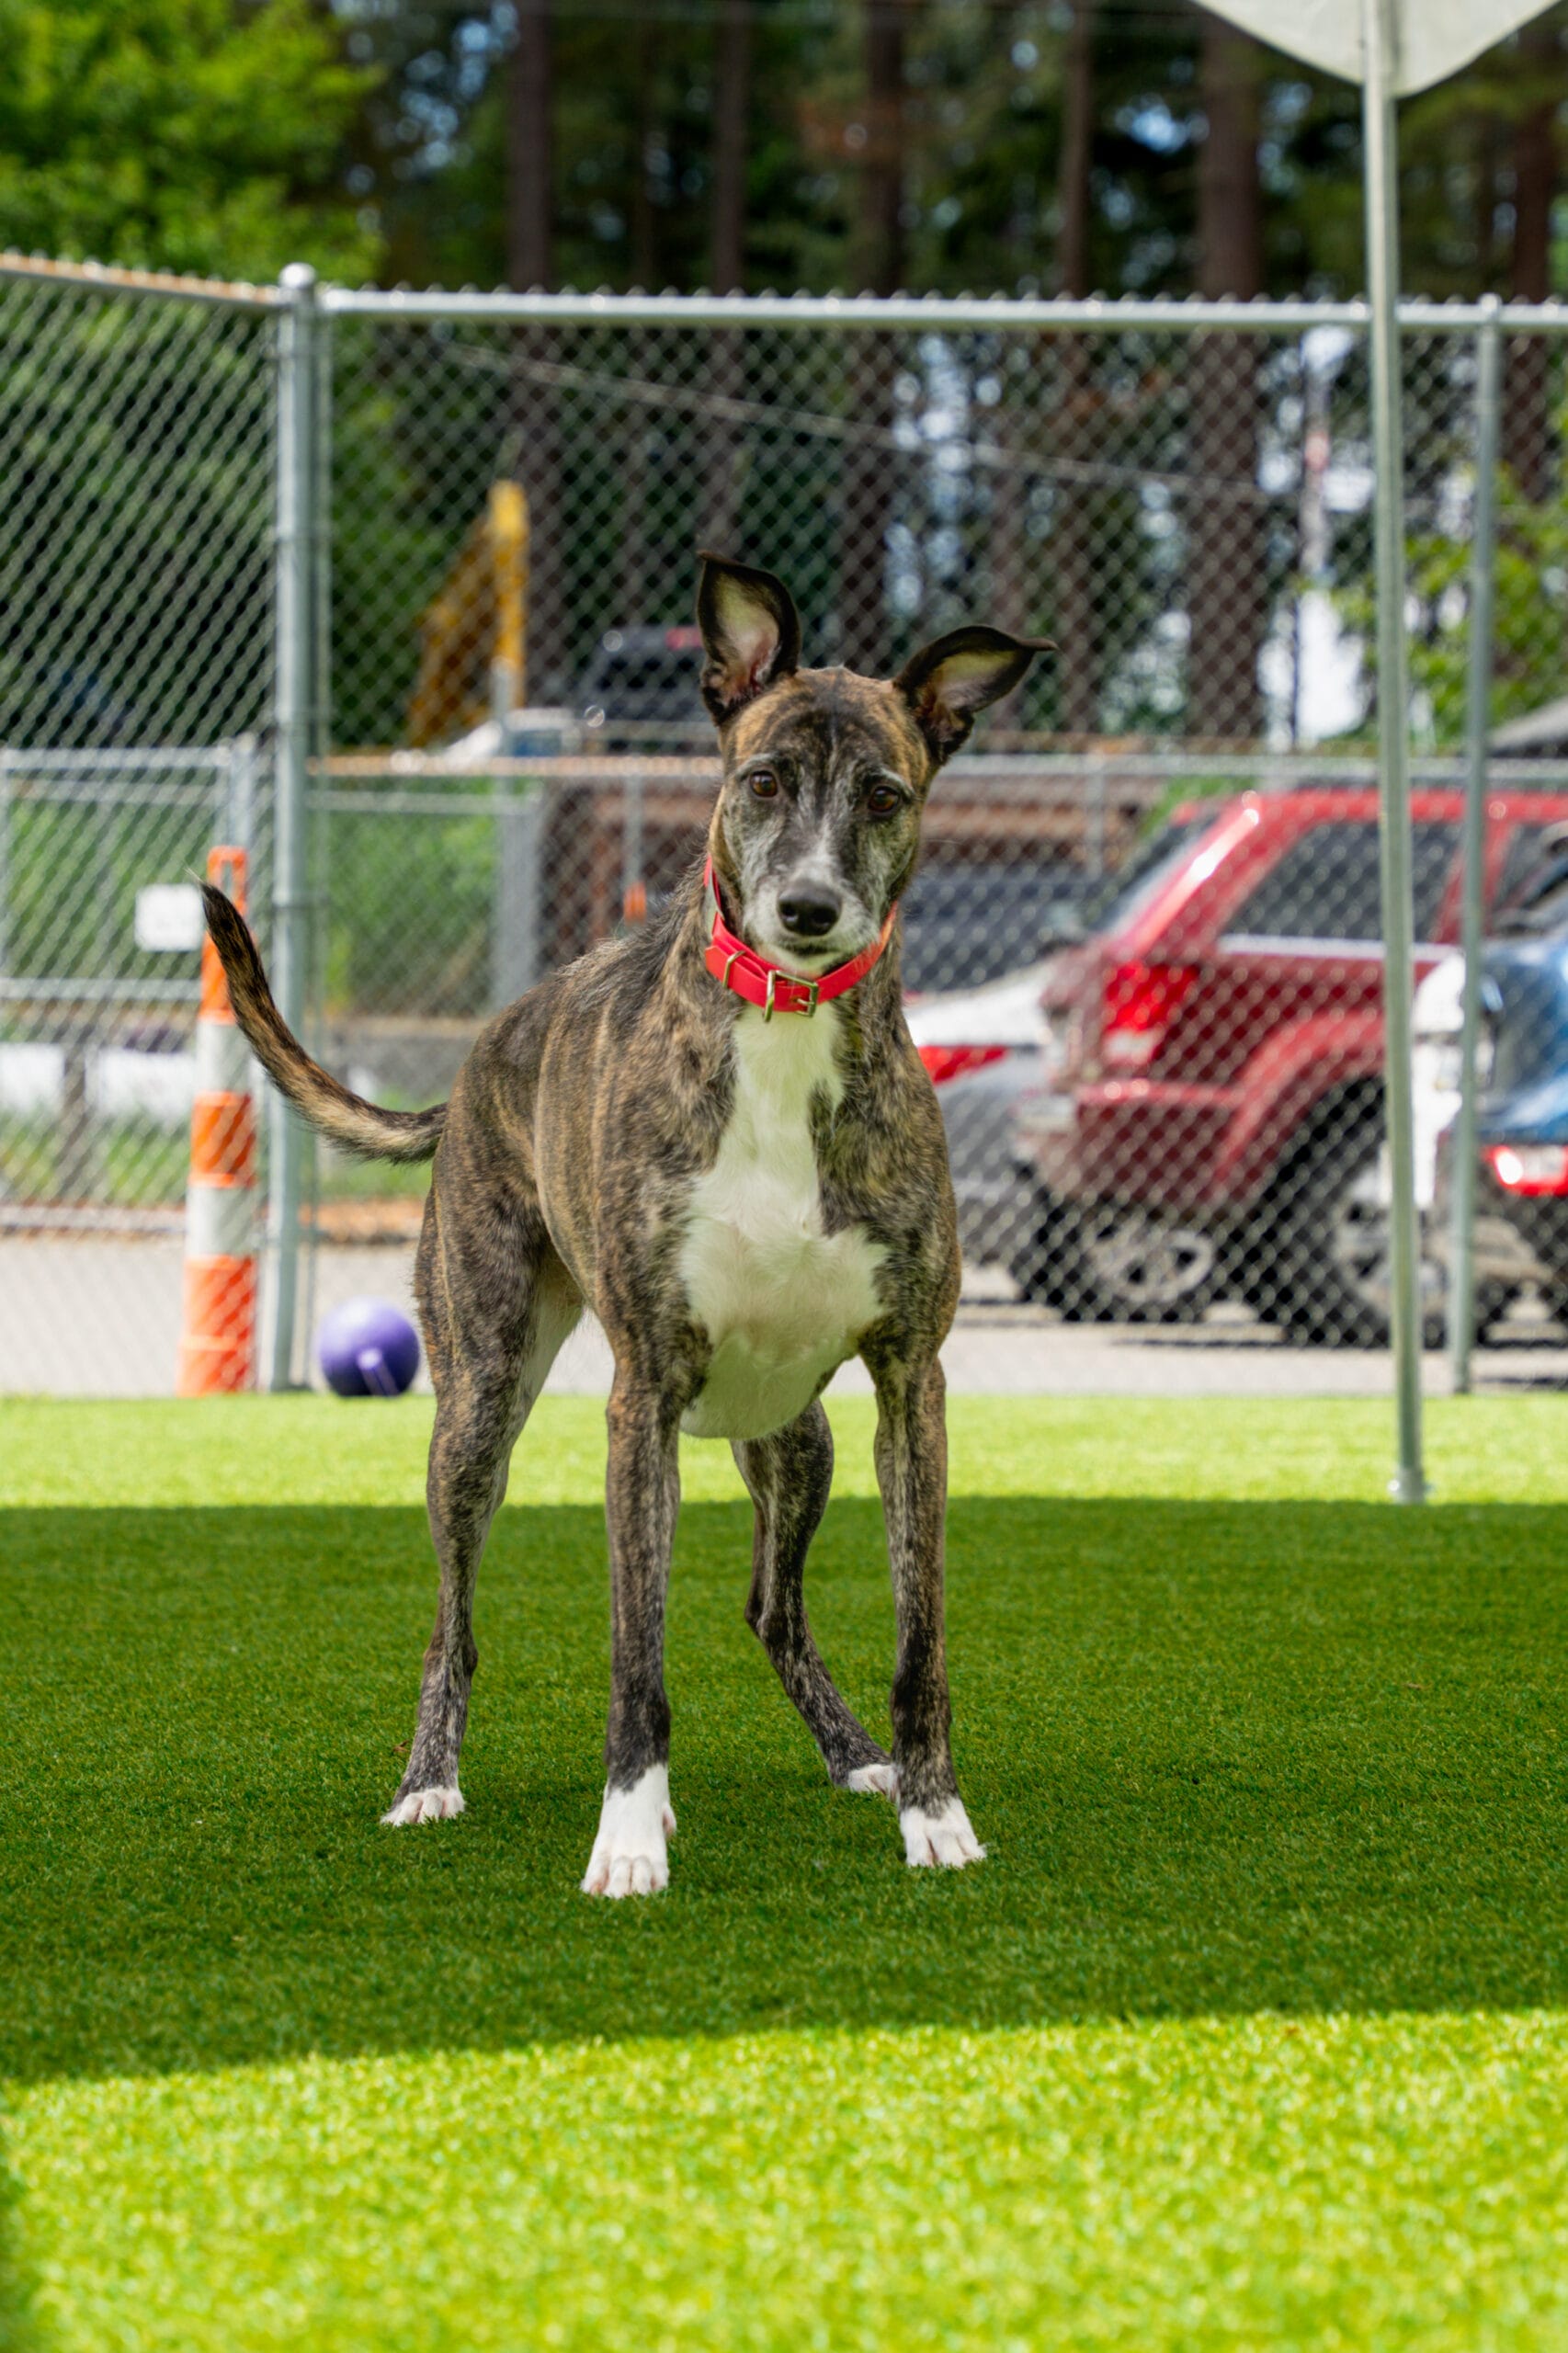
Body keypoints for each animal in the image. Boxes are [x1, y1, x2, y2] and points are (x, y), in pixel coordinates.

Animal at [203, 553, 1047, 1896]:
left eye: (883, 794)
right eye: (761, 780)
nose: (808, 909)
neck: (783, 1033)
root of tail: (474, 1063)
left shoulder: (910, 1383)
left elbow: (919, 1636)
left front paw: (931, 1812)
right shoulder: (639, 1398)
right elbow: (633, 1654)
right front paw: (628, 1835)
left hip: (798, 1435)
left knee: (771, 1607)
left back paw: (851, 1756)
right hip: (475, 1407)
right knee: (452, 1622)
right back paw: (427, 1782)